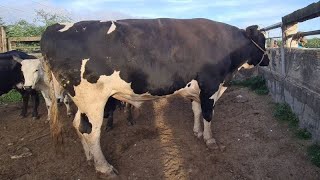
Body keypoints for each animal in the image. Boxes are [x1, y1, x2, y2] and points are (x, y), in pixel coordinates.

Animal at [40, 18, 270, 177]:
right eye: (262, 40)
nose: (268, 60)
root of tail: (54, 28)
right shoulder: (210, 86)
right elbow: (208, 114)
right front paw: (210, 140)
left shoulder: (196, 89)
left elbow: (196, 110)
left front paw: (197, 132)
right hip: (93, 99)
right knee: (90, 131)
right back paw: (104, 167)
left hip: (83, 101)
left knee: (78, 124)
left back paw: (89, 158)